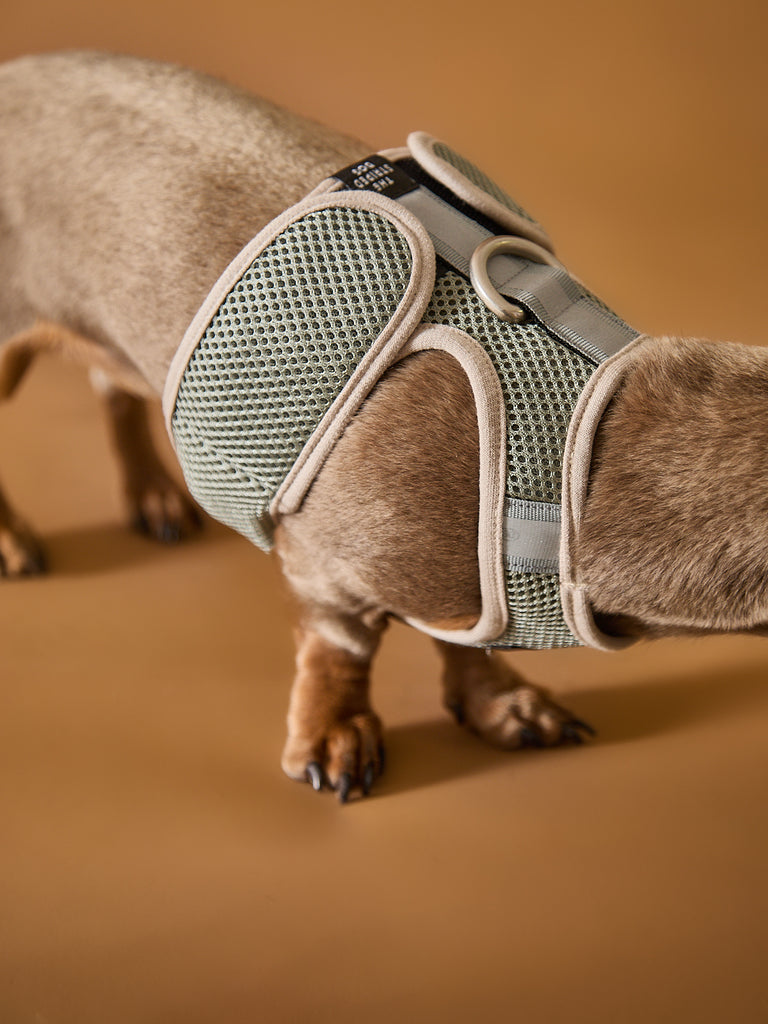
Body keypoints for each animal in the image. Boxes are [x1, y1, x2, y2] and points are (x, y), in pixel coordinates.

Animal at [0, 51, 761, 802]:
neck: (581, 453)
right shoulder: (323, 570)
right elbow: (341, 651)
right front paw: (334, 736)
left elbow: (466, 638)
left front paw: (500, 703)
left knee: (114, 391)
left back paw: (153, 496)